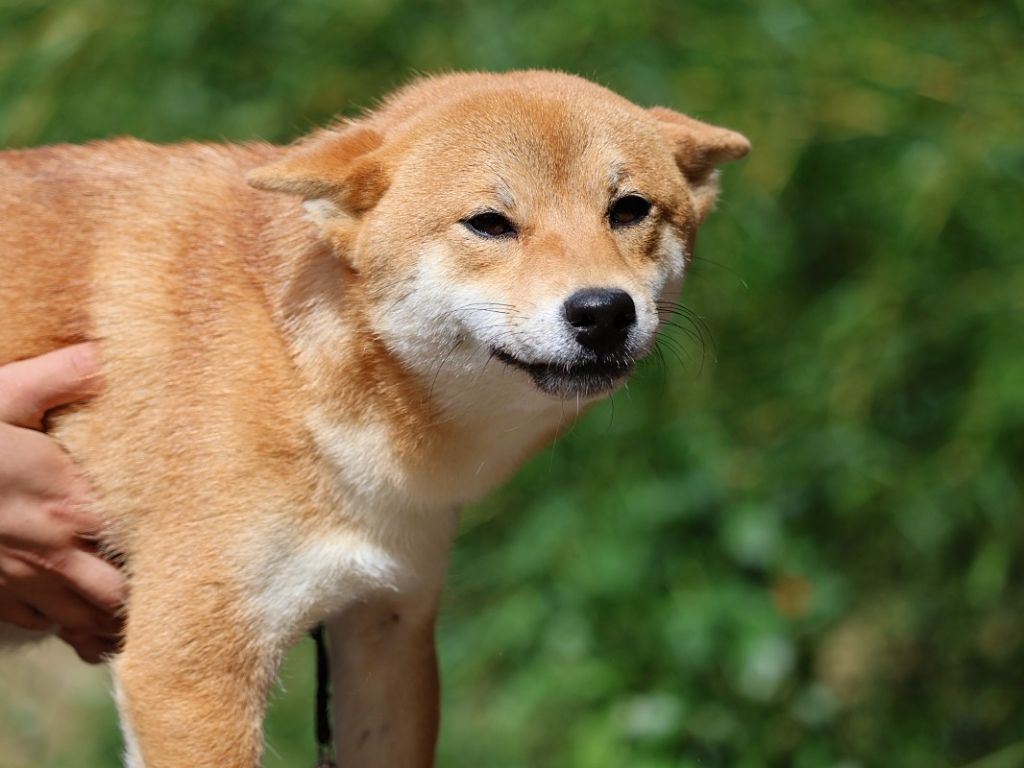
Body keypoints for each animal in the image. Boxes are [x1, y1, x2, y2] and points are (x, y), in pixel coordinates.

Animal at [2, 69, 753, 765]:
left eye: (628, 209)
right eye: (489, 223)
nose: (602, 311)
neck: (300, 369)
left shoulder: (385, 626)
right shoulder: (192, 669)